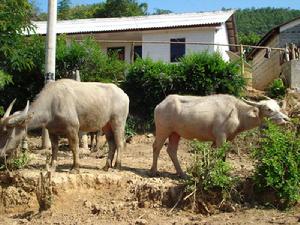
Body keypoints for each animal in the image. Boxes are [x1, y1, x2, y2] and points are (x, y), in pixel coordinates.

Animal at [0, 79, 129, 172]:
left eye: (6, 131)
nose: (1, 153)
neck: (52, 104)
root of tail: (124, 95)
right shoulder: (51, 131)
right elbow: (54, 148)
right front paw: (53, 165)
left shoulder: (72, 128)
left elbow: (74, 147)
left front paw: (75, 168)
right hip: (106, 125)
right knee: (112, 143)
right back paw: (107, 166)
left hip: (118, 121)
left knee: (120, 142)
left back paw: (117, 167)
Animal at [150, 94, 290, 178]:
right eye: (268, 109)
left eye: (278, 107)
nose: (286, 119)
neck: (238, 113)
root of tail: (159, 105)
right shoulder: (221, 136)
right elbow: (221, 156)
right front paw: (221, 172)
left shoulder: (220, 139)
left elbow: (215, 155)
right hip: (163, 129)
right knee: (156, 147)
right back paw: (153, 171)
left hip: (175, 133)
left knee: (171, 150)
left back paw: (182, 173)